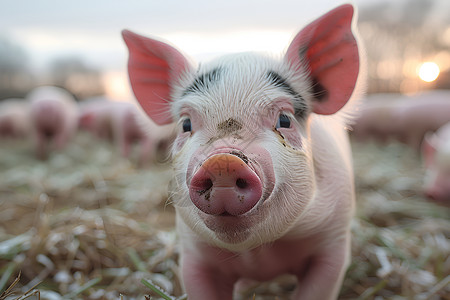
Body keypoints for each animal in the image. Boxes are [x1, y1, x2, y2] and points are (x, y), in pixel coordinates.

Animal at [123, 3, 366, 298]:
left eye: (284, 119)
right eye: (185, 124)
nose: (222, 163)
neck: (257, 256)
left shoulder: (334, 242)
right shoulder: (194, 253)